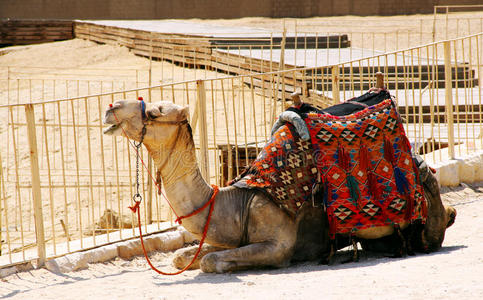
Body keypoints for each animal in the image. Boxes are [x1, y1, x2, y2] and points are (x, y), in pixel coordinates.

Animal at [103, 99, 458, 274]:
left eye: (154, 112)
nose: (110, 108)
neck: (238, 200)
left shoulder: (277, 242)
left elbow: (209, 261)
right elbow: (182, 257)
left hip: (423, 222)